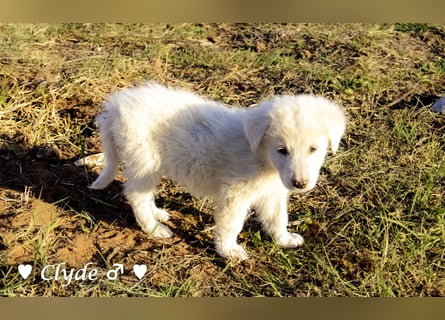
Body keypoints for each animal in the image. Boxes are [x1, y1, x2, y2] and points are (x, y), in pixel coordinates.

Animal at [88, 82, 346, 260]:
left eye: (314, 149)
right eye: (282, 150)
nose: (300, 184)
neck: (261, 155)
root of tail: (116, 106)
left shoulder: (272, 192)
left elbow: (278, 218)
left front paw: (284, 239)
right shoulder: (234, 194)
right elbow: (232, 223)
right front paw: (228, 251)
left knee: (144, 193)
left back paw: (158, 213)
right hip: (144, 160)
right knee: (136, 195)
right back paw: (154, 228)